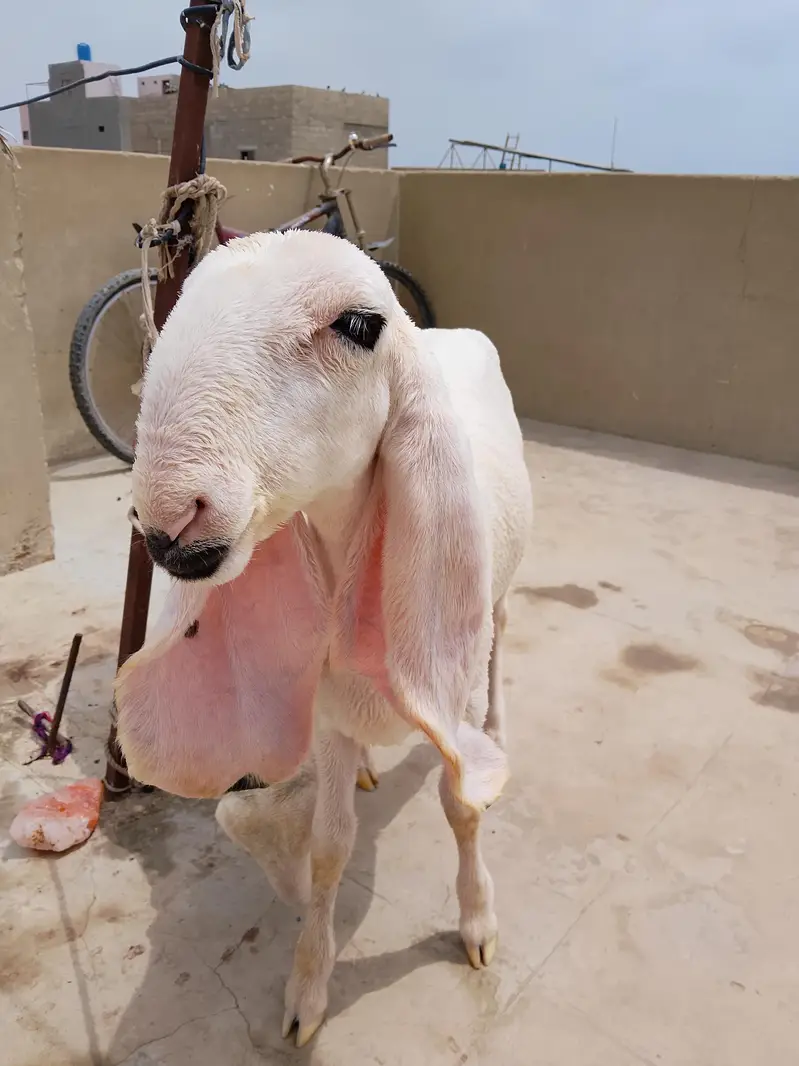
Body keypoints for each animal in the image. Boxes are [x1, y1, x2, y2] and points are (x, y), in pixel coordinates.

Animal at [114, 228, 533, 1046]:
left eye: (359, 326)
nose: (168, 519)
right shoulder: (331, 709)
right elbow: (331, 845)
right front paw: (307, 990)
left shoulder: (454, 684)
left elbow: (462, 806)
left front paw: (476, 921)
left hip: (495, 592)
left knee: (501, 628)